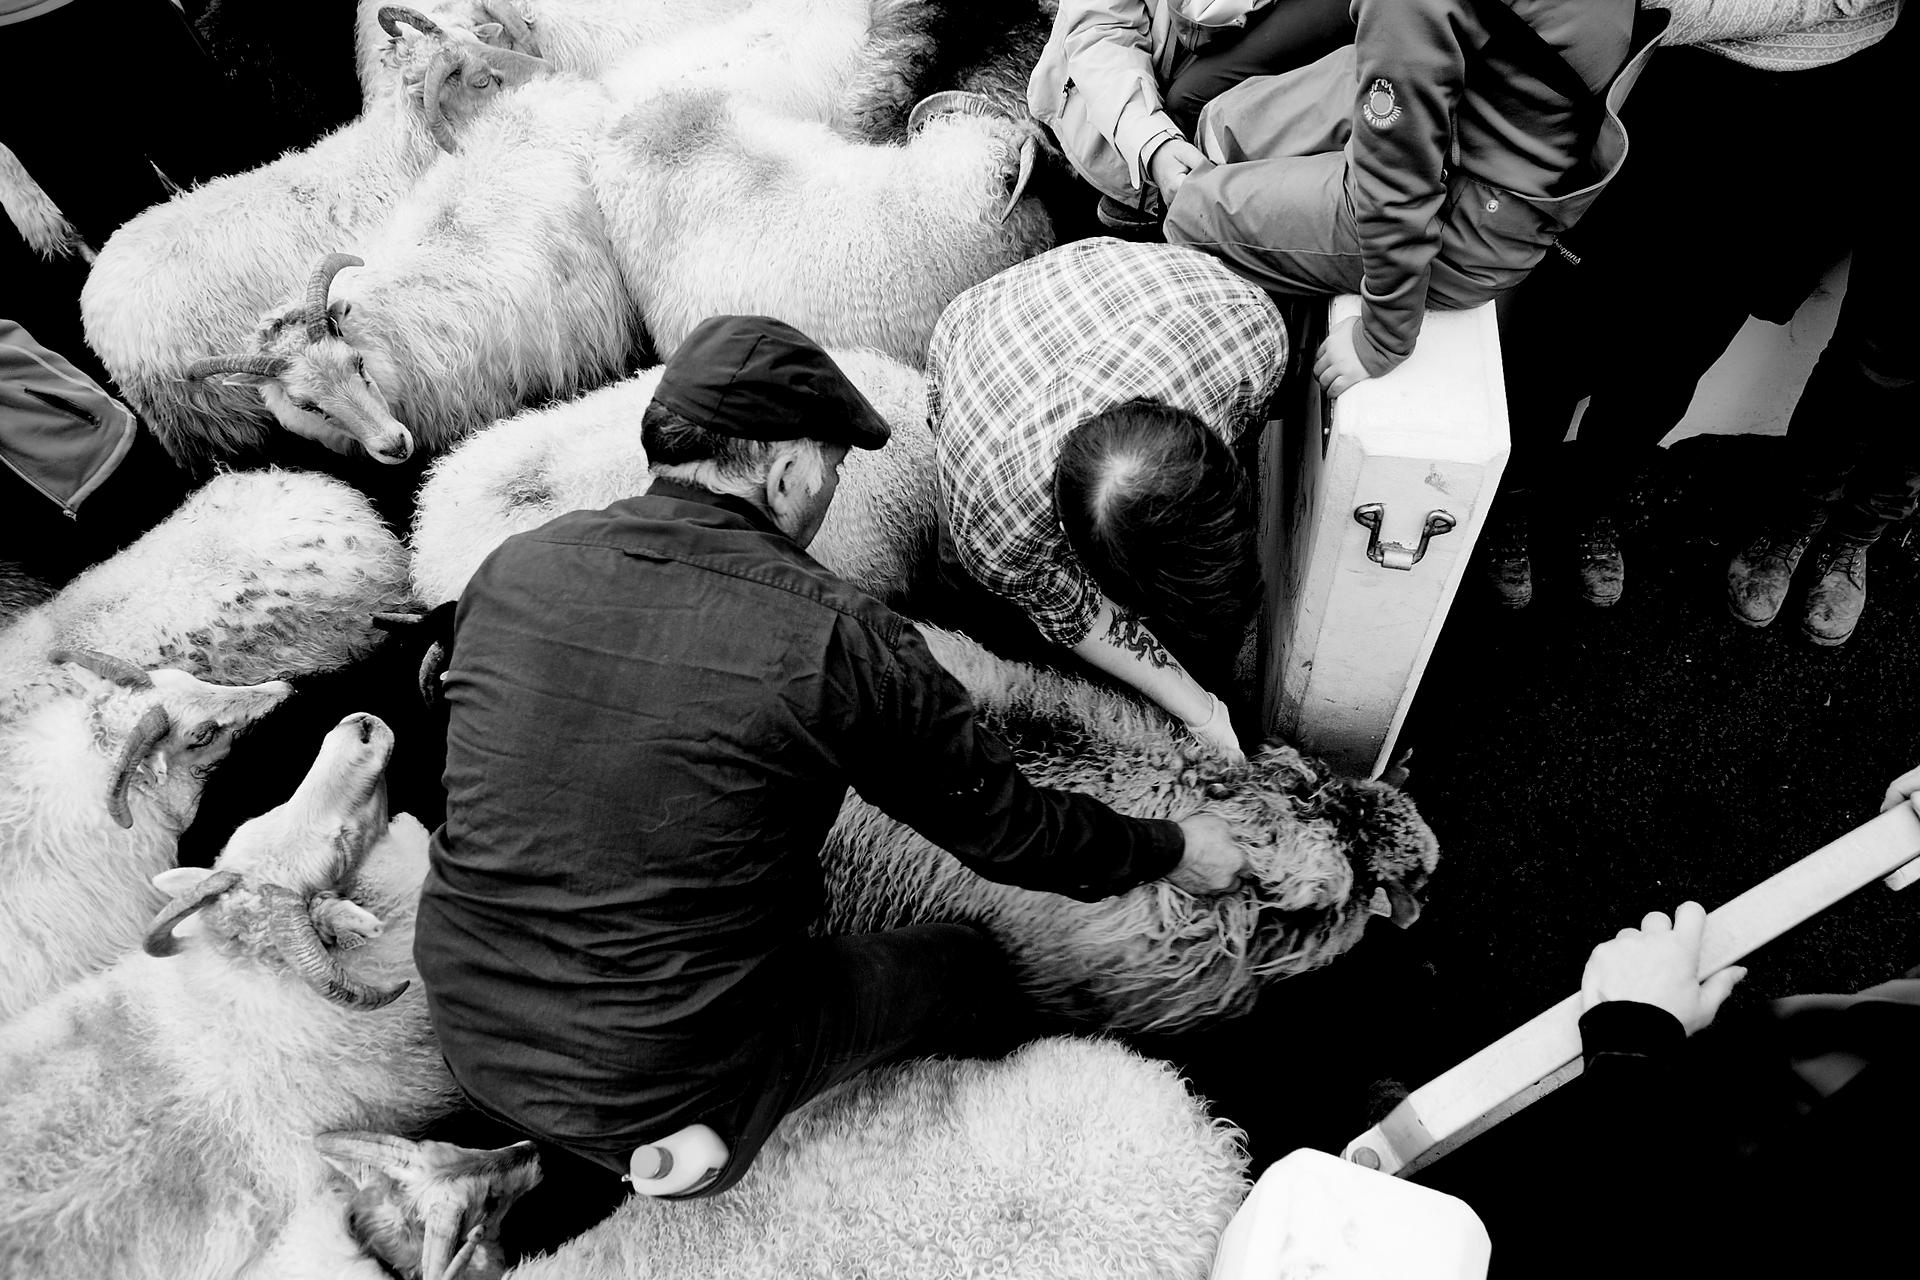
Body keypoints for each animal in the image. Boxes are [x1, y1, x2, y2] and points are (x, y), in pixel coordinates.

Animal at [88, 8, 556, 470]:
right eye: (481, 81)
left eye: (478, 38)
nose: (550, 70)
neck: (396, 157)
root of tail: (94, 311)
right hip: (224, 424)